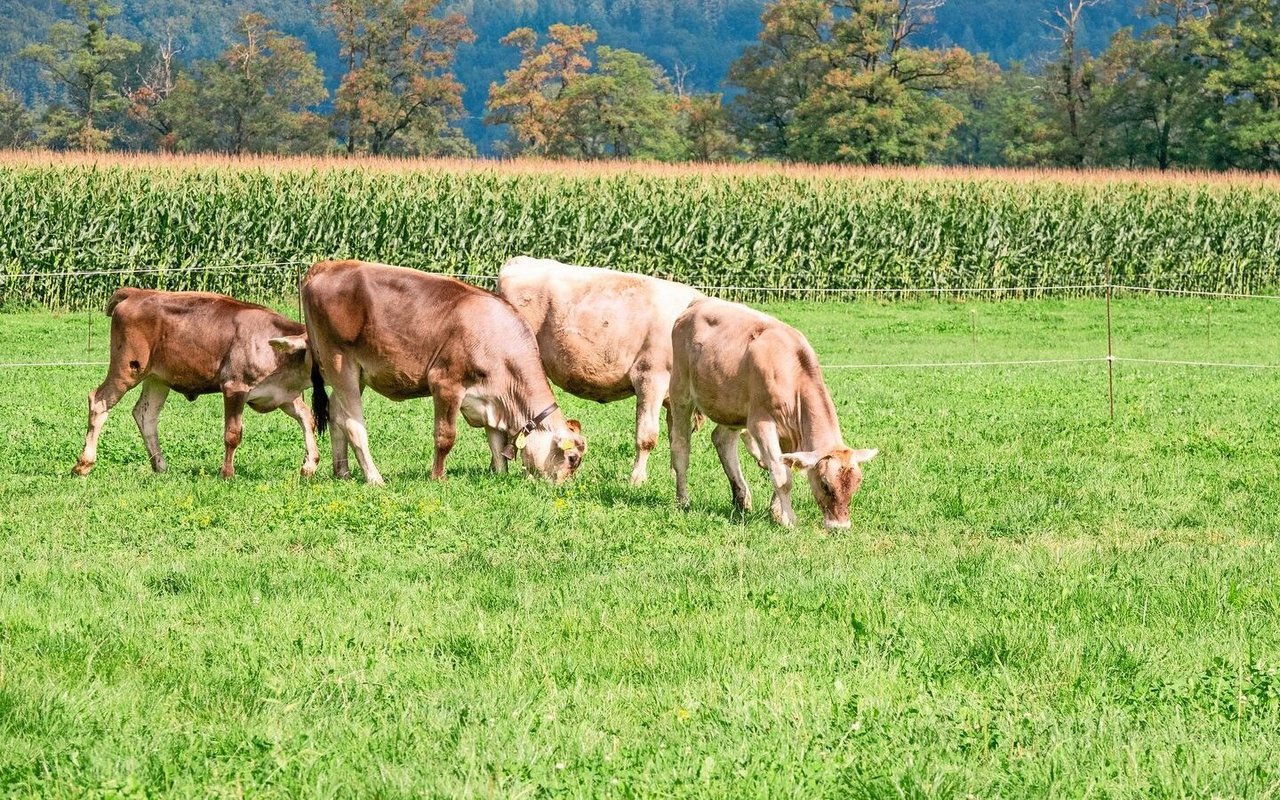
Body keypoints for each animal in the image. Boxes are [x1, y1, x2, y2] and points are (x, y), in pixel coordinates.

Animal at [71, 286, 325, 476]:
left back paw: (160, 465)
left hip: (157, 378)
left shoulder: (283, 395)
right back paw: (84, 464)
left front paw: (309, 465)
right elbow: (233, 434)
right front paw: (227, 473)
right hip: (127, 368)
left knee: (145, 414)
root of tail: (137, 293)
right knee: (99, 401)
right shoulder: (234, 387)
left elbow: (307, 418)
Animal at [299, 258, 586, 483]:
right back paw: (374, 477)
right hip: (340, 362)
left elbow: (495, 440)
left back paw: (342, 472)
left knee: (337, 414)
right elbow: (445, 437)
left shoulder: (491, 397)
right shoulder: (445, 383)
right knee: (353, 424)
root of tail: (325, 266)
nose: (563, 487)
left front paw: (500, 474)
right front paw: (437, 477)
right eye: (571, 459)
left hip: (355, 372)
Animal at [494, 257, 706, 481]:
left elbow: (677, 438)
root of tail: (521, 260)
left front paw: (675, 476)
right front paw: (637, 479)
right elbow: (647, 436)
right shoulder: (650, 377)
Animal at [665, 296, 875, 527]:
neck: (792, 372)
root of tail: (699, 302)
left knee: (722, 440)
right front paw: (788, 519)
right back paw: (683, 500)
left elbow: (784, 467)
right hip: (681, 391)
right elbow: (781, 475)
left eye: (856, 485)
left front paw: (775, 511)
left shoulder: (790, 433)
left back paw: (741, 498)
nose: (840, 527)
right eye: (825, 484)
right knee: (681, 446)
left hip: (732, 406)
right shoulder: (761, 423)